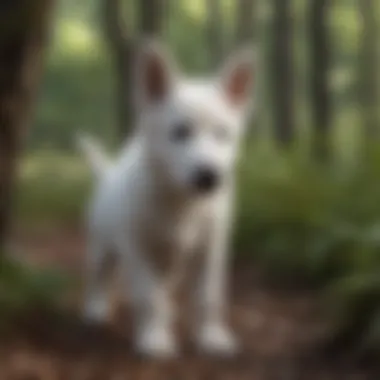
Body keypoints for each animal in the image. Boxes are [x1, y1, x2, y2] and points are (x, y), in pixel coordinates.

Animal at [78, 41, 255, 360]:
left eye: (223, 133)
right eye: (180, 132)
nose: (209, 176)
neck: (182, 203)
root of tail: (108, 173)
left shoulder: (210, 250)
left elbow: (207, 297)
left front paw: (211, 337)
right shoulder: (139, 248)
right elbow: (150, 297)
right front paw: (154, 338)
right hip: (102, 245)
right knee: (99, 278)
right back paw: (95, 310)